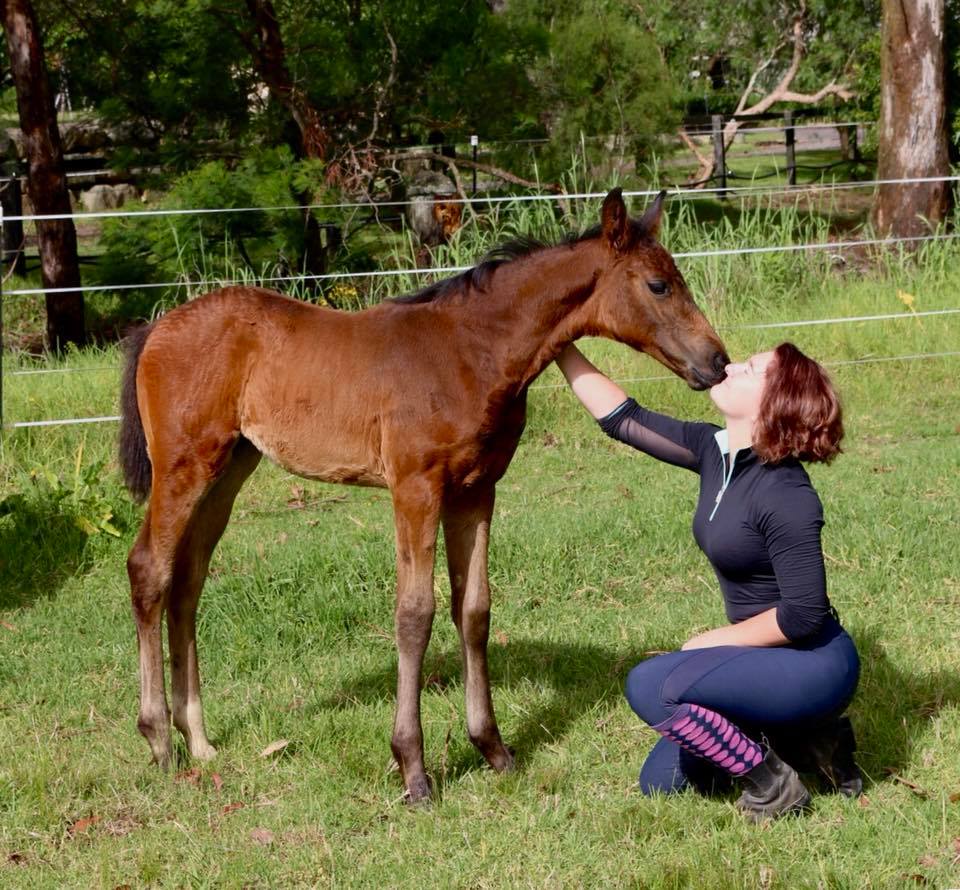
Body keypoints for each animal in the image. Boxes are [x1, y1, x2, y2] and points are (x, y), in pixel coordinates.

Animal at [122, 187, 728, 796]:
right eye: (658, 284)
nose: (718, 361)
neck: (468, 353)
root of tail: (154, 329)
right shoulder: (415, 488)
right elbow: (415, 613)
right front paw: (412, 767)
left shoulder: (476, 491)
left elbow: (474, 610)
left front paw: (493, 749)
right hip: (184, 466)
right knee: (150, 569)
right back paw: (159, 739)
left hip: (229, 469)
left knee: (187, 581)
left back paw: (199, 741)